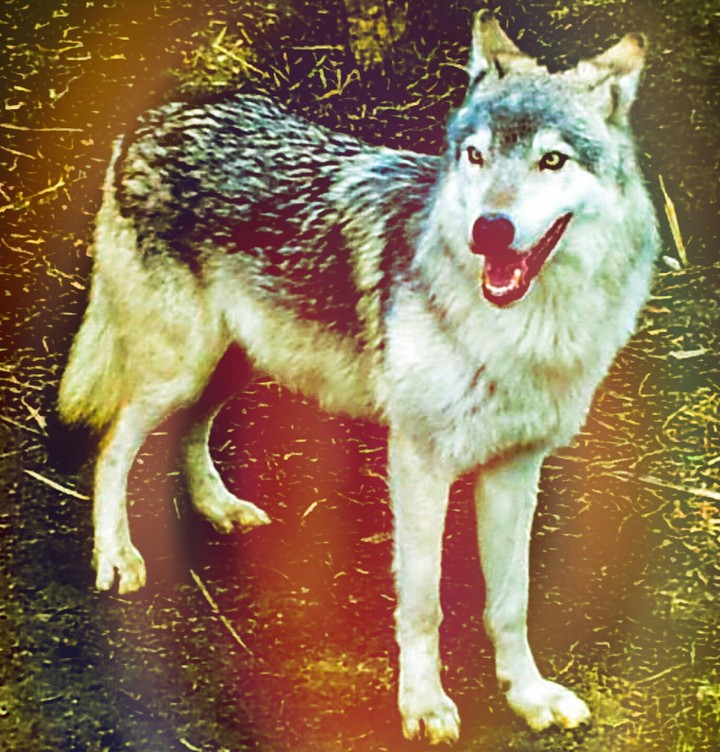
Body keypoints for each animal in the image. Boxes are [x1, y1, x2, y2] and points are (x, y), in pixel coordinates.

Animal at [58, 11, 659, 744]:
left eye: (552, 160)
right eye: (476, 156)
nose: (489, 230)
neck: (523, 330)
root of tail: (155, 116)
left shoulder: (515, 467)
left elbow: (510, 603)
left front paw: (529, 696)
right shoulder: (420, 462)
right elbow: (424, 602)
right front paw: (424, 706)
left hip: (237, 366)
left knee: (189, 433)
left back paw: (220, 507)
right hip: (183, 367)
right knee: (112, 446)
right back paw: (117, 557)